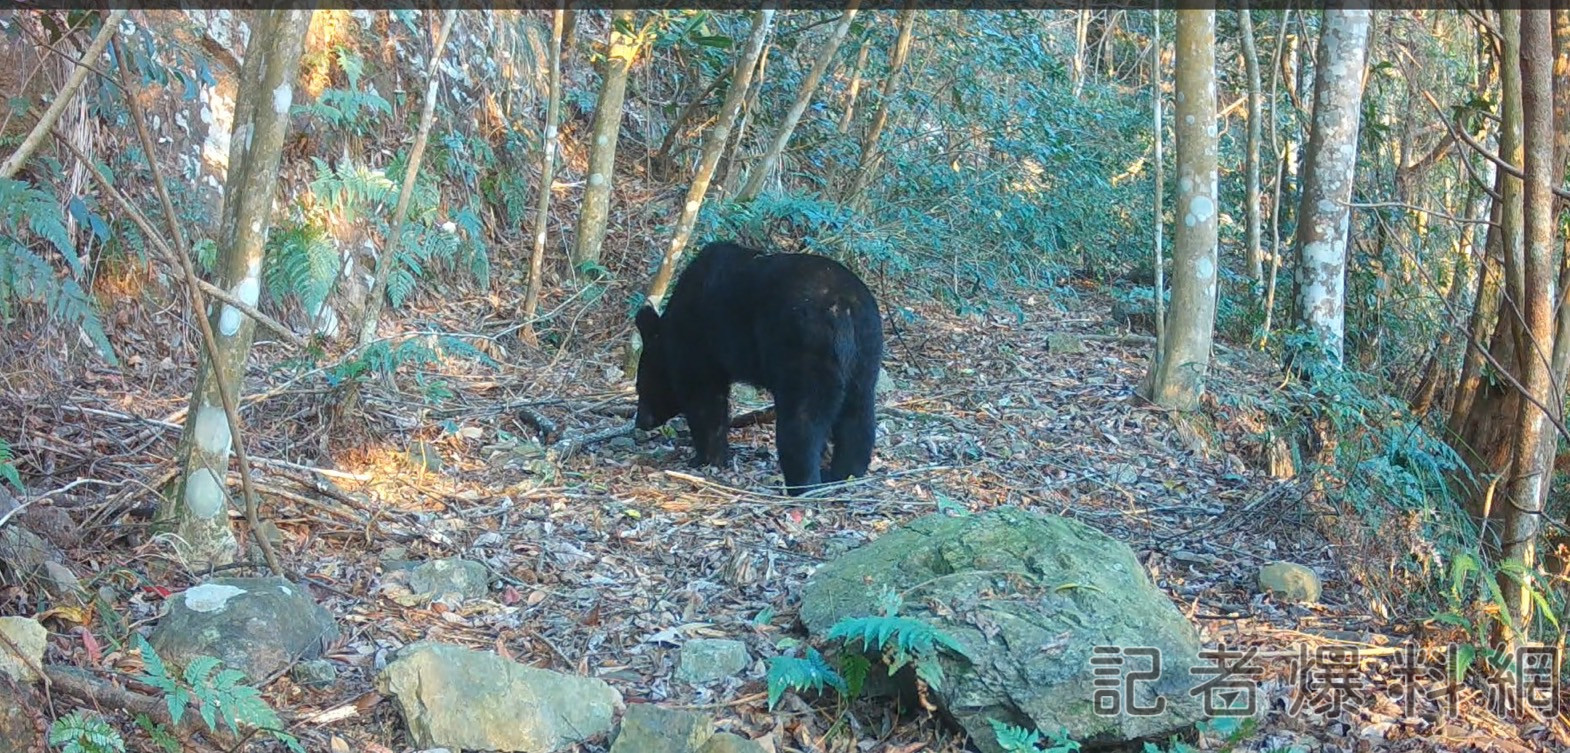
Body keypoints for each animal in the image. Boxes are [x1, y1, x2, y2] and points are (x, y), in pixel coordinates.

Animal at [634, 241, 885, 495]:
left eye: (640, 387)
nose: (641, 421)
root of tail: (842, 307)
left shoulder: (699, 343)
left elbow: (704, 400)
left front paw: (707, 458)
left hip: (807, 346)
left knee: (802, 420)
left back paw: (802, 483)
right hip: (866, 349)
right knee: (858, 413)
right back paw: (846, 473)